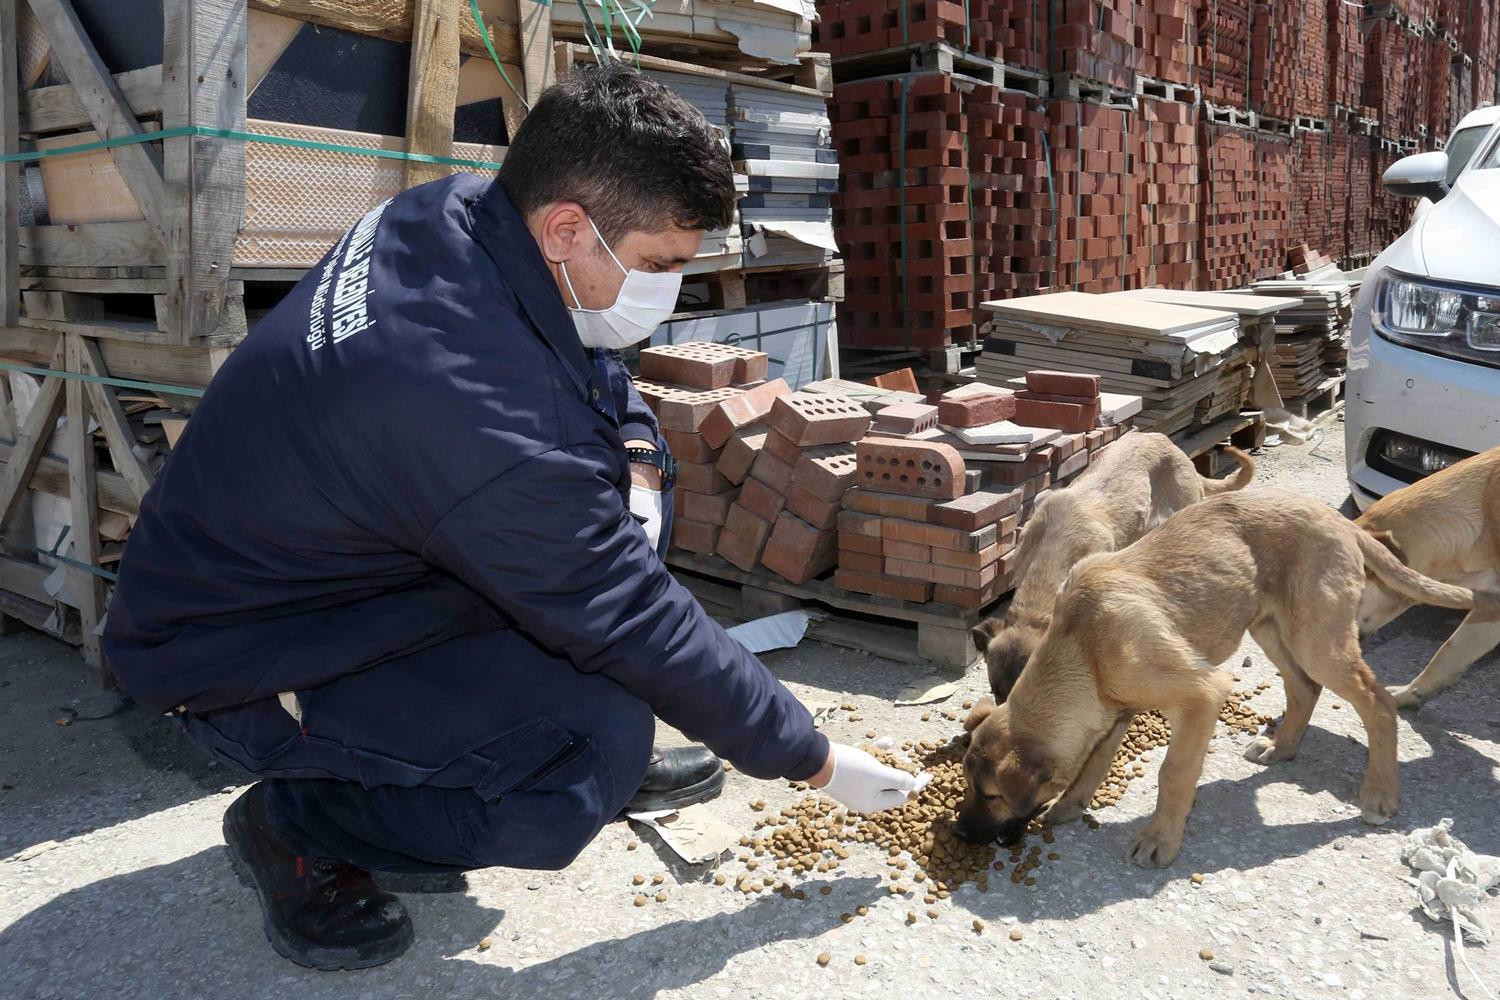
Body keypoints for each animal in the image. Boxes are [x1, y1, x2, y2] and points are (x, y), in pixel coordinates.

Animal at [954, 489, 1492, 868]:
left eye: (992, 795)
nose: (960, 834)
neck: (1082, 647)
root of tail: (1341, 519)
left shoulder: (1201, 694)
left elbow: (1173, 774)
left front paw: (1160, 840)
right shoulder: (1114, 707)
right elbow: (1093, 762)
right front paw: (1070, 805)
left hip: (1318, 640)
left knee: (1376, 701)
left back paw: (1380, 792)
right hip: (1271, 628)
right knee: (1304, 688)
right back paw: (1282, 748)